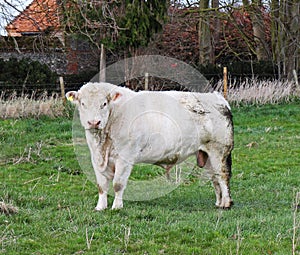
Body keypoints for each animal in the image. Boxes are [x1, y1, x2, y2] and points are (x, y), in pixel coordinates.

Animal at [67, 82, 234, 210]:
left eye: (104, 103)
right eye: (83, 103)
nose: (94, 122)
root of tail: (218, 98)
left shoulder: (125, 157)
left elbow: (118, 184)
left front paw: (116, 207)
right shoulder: (96, 158)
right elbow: (101, 185)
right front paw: (100, 207)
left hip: (219, 151)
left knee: (222, 175)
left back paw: (226, 203)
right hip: (206, 154)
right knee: (214, 178)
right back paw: (218, 202)